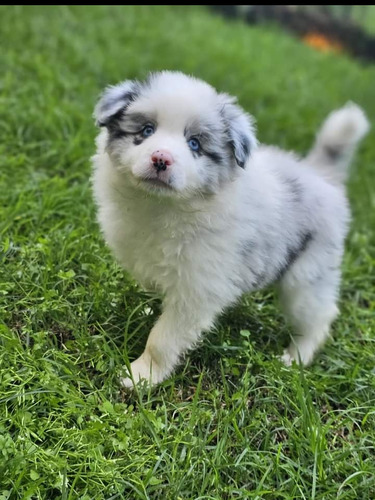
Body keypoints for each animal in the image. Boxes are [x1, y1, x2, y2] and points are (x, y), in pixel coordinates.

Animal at [92, 72, 370, 388]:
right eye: (146, 130)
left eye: (194, 144)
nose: (161, 159)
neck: (161, 206)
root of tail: (321, 174)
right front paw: (148, 308)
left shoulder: (197, 290)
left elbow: (162, 339)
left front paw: (141, 375)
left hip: (306, 277)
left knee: (319, 318)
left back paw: (295, 357)